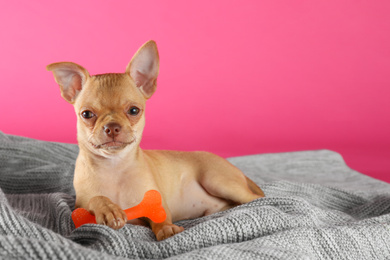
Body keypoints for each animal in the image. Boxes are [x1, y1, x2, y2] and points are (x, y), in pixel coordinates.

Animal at [46, 39, 266, 241]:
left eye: (134, 110)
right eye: (87, 114)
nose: (112, 127)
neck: (114, 166)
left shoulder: (155, 203)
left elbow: (160, 216)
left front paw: (167, 228)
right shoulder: (79, 206)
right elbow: (96, 199)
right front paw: (108, 209)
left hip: (217, 179)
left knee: (258, 198)